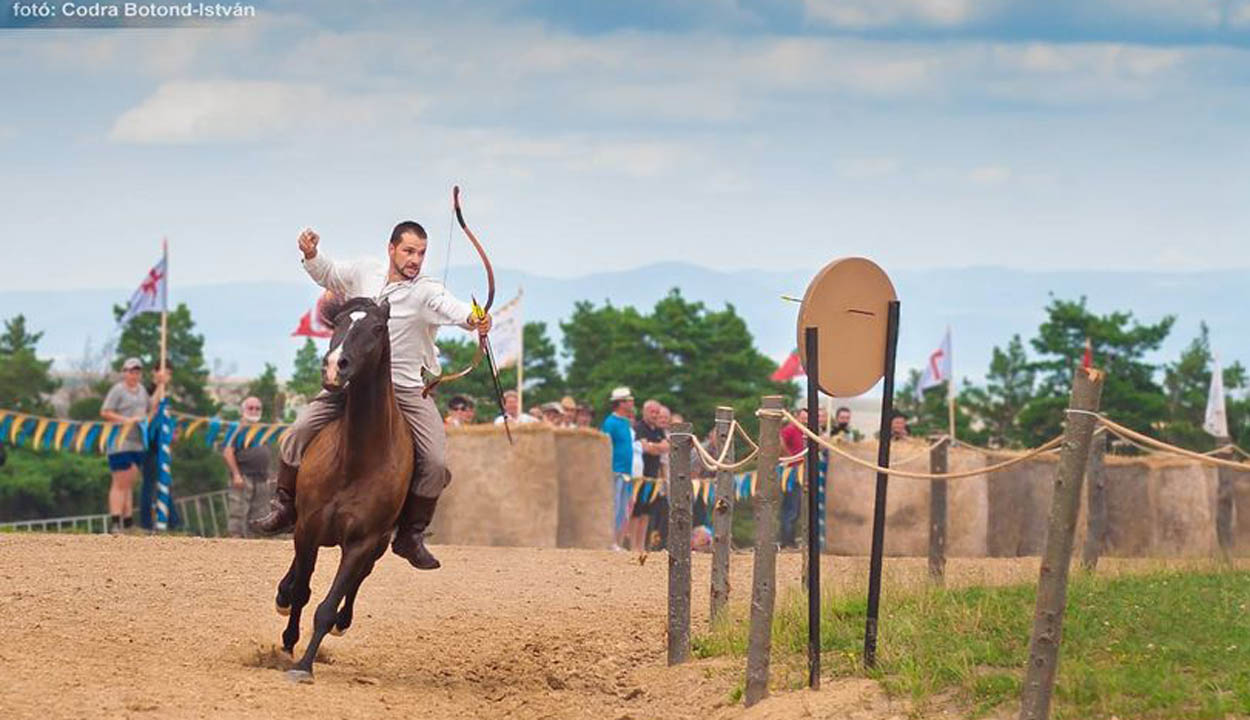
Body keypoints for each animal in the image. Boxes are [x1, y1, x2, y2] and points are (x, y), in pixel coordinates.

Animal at [271, 293, 412, 680]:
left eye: (377, 328)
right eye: (336, 324)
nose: (336, 366)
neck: (356, 458)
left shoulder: (363, 542)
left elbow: (328, 604)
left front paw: (304, 666)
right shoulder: (308, 526)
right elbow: (302, 590)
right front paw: (288, 641)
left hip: (377, 544)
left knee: (359, 581)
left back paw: (342, 621)